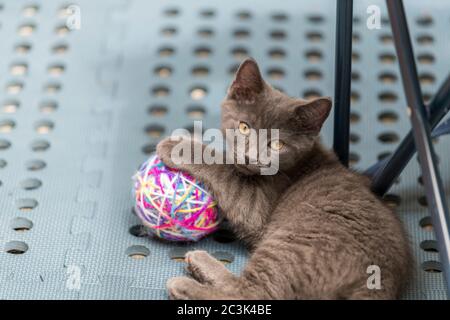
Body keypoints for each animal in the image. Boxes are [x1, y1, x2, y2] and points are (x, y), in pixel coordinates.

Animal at [157, 58, 412, 300]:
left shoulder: (256, 206)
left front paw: (179, 147)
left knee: (254, 292)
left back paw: (188, 277)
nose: (250, 157)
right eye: (244, 127)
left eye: (278, 144)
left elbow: (226, 171)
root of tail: (381, 282)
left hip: (291, 243)